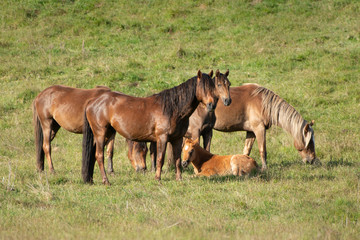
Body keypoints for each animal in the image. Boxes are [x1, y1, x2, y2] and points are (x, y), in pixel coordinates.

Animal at [81, 70, 231, 185]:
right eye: (204, 87)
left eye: (213, 87)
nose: (212, 105)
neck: (172, 108)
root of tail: (92, 102)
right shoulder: (162, 138)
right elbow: (160, 158)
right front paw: (158, 178)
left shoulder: (177, 139)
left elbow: (177, 159)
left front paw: (179, 178)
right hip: (101, 133)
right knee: (99, 155)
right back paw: (106, 181)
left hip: (107, 133)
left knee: (93, 156)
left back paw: (91, 179)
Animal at [183, 84, 316, 171]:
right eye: (309, 142)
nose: (312, 160)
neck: (263, 103)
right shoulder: (259, 129)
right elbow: (263, 150)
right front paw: (264, 168)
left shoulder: (250, 132)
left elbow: (246, 151)